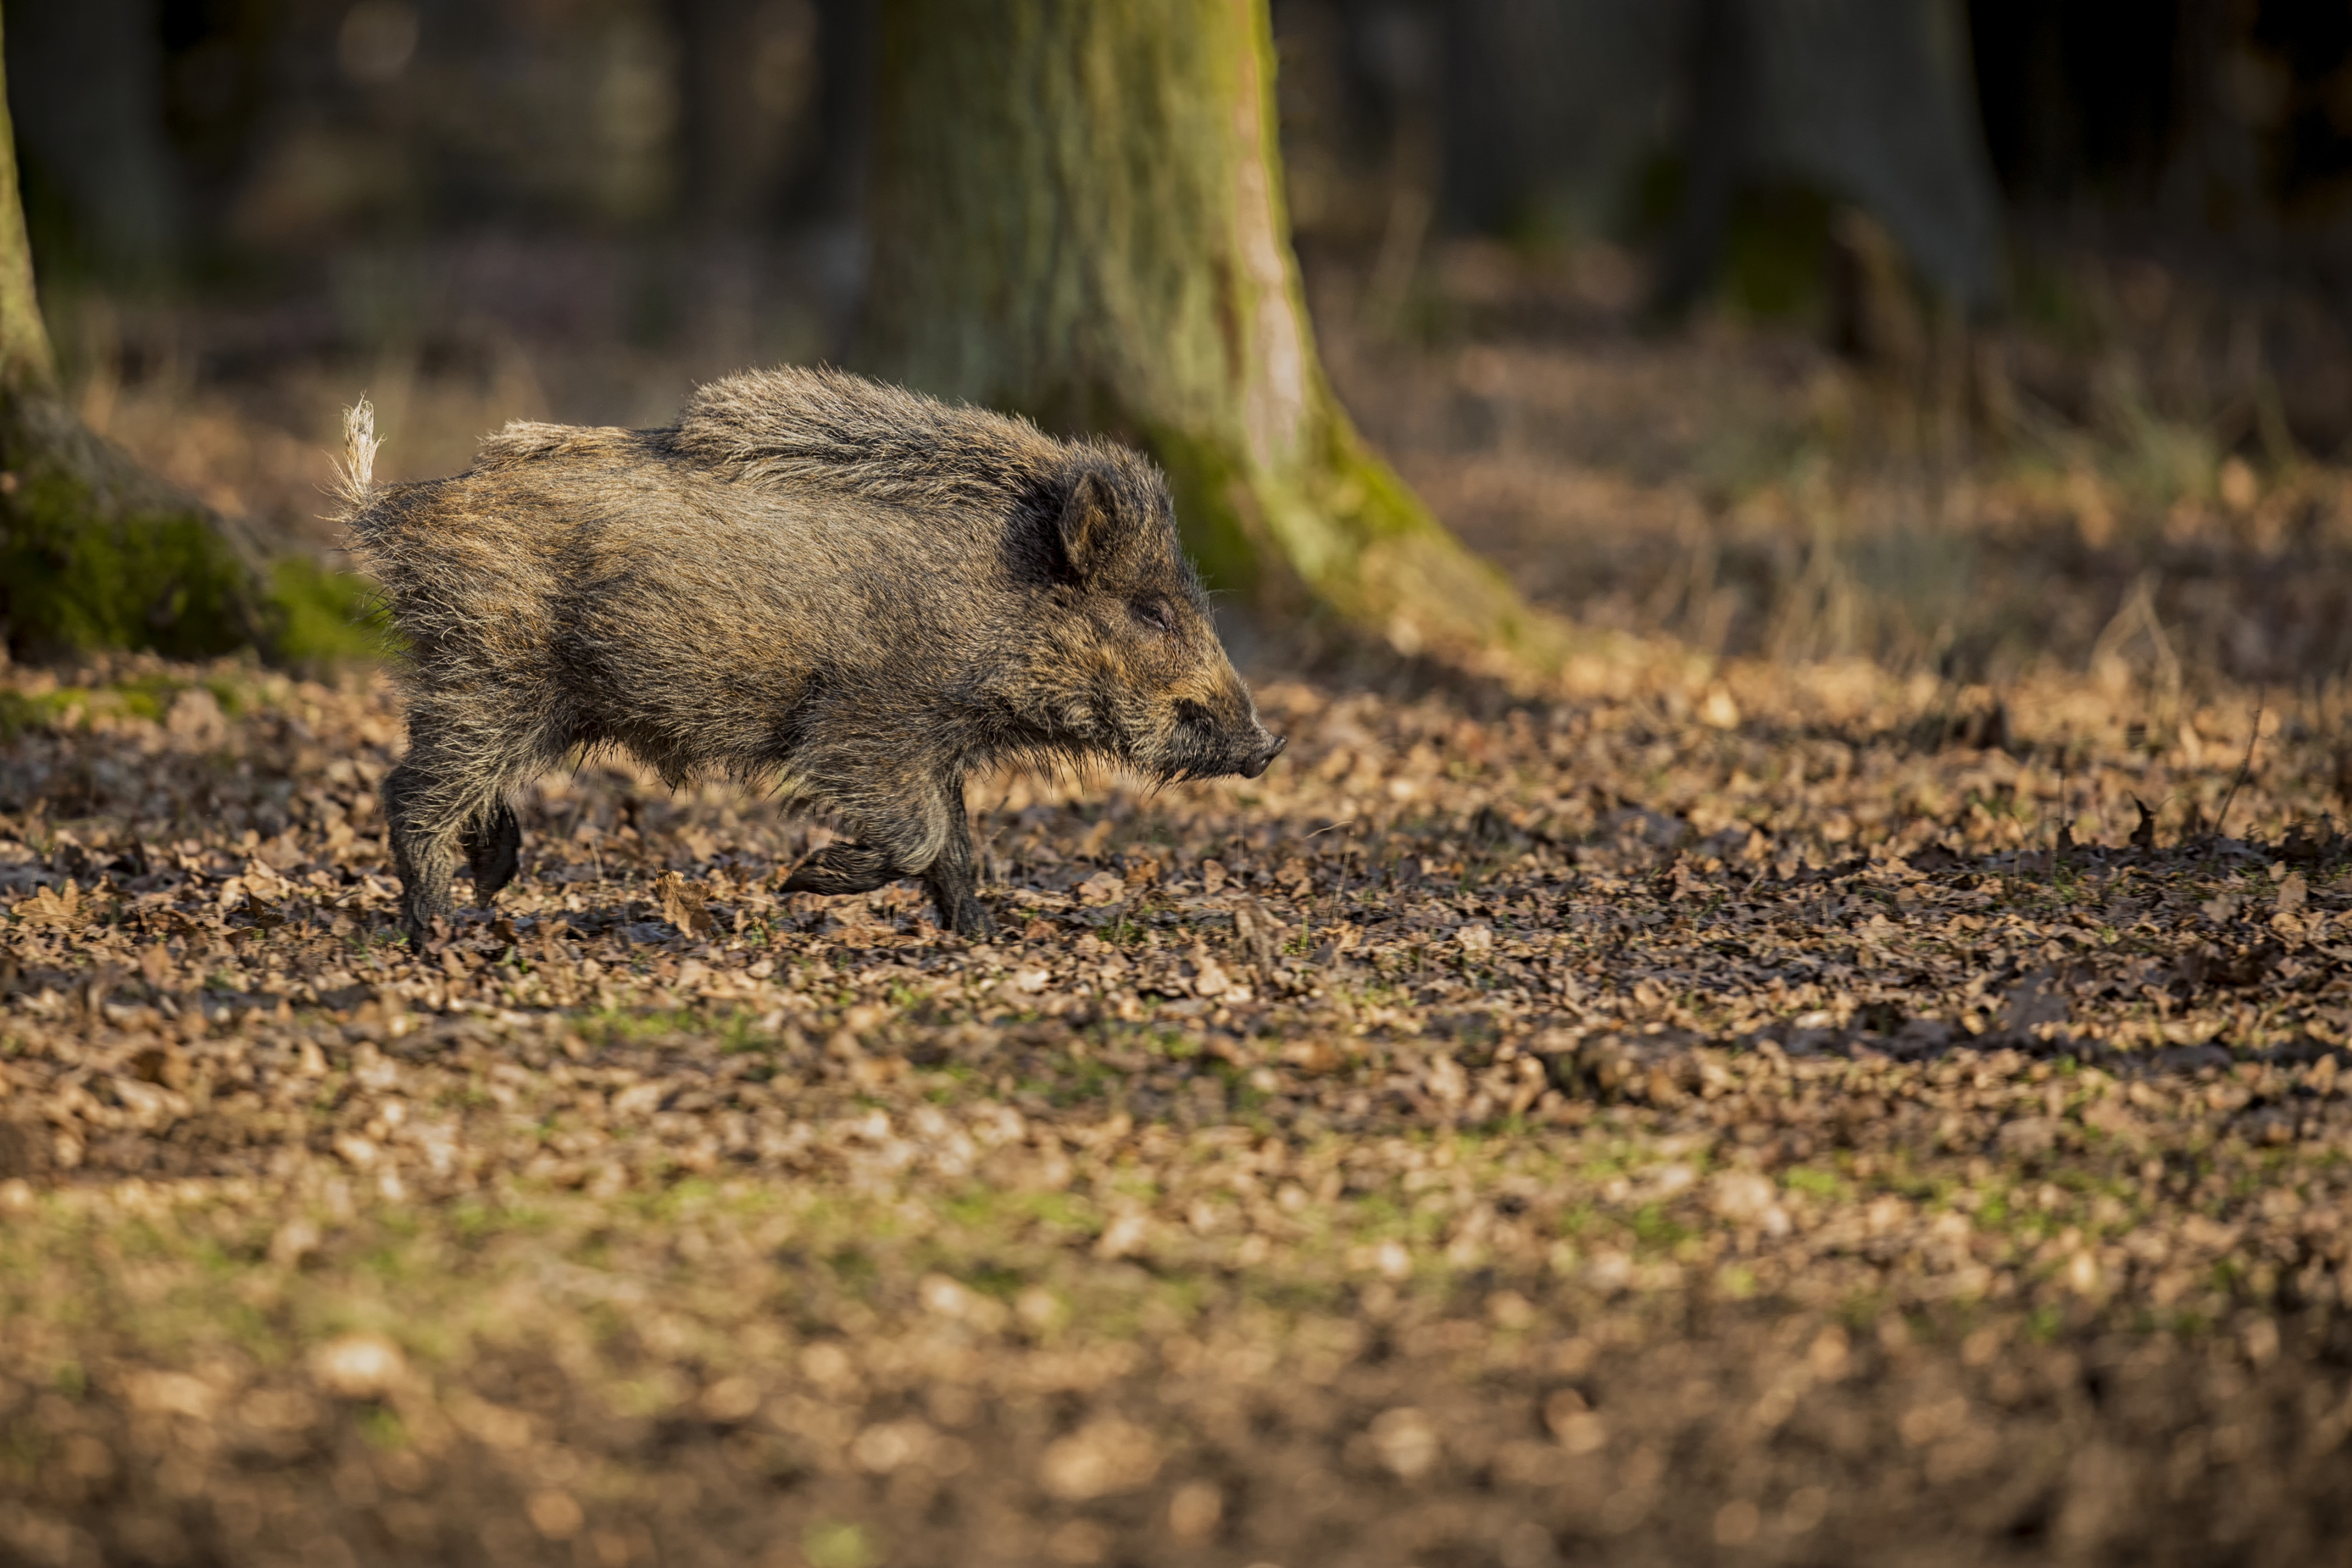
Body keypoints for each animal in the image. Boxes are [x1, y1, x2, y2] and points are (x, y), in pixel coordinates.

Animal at [335, 366, 1285, 944]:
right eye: (1152, 611)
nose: (1267, 745)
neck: (993, 605)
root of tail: (388, 511)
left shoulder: (931, 743)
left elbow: (957, 846)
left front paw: (981, 936)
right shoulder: (864, 726)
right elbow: (919, 836)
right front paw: (801, 881)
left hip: (517, 693)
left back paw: (491, 885)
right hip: (493, 674)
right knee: (412, 790)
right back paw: (437, 931)